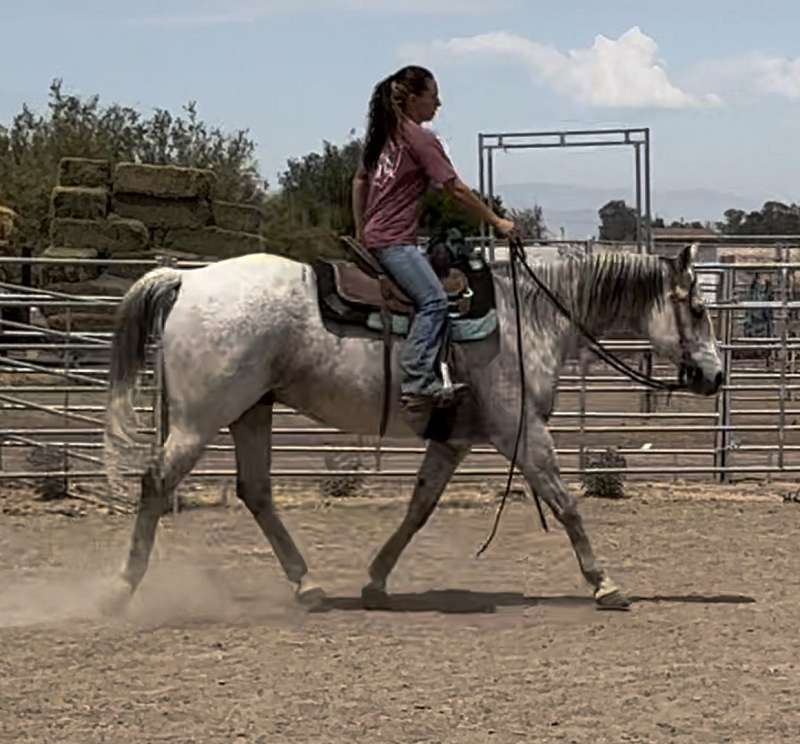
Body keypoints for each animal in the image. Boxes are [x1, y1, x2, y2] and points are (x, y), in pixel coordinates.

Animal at [103, 244, 720, 612]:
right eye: (698, 309)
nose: (715, 375)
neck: (529, 313)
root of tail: (187, 282)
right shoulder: (522, 432)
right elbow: (566, 502)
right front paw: (605, 582)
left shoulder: (453, 439)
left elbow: (419, 509)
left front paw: (376, 580)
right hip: (200, 418)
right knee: (156, 482)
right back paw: (121, 588)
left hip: (251, 411)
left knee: (255, 492)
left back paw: (309, 585)